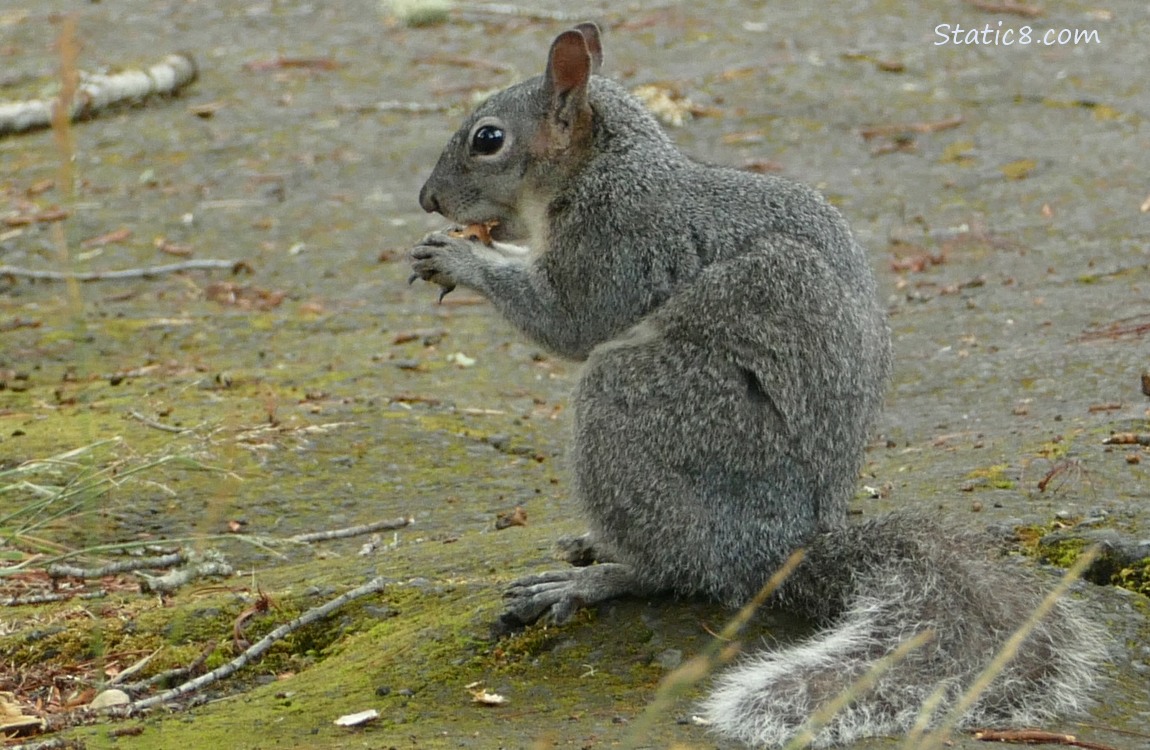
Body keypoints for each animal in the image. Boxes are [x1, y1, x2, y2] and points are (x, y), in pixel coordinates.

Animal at [408, 23, 1107, 747]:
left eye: (488, 138)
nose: (429, 198)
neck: (602, 166)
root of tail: (786, 546)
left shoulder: (618, 241)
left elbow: (570, 322)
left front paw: (461, 257)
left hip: (647, 408)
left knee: (680, 567)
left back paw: (600, 576)